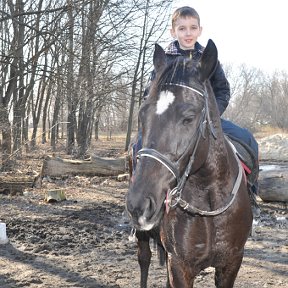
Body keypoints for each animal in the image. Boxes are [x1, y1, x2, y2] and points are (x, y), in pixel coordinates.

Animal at [127, 38, 253, 288]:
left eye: (189, 117)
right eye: (142, 114)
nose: (138, 204)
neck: (209, 203)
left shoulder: (231, 263)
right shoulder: (180, 265)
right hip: (144, 236)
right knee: (144, 260)